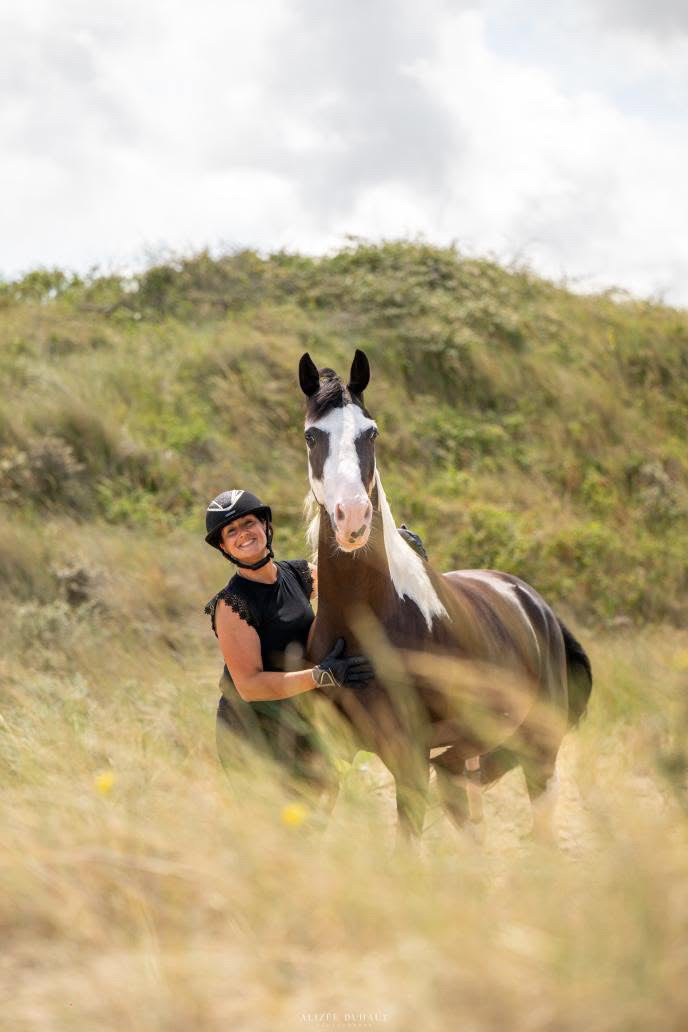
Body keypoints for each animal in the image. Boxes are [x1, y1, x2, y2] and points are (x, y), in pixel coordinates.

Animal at [299, 348, 592, 844]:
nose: (352, 519)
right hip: (462, 763)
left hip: (537, 755)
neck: (367, 622)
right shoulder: (331, 755)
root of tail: (538, 608)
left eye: (370, 432)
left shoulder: (411, 760)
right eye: (311, 436)